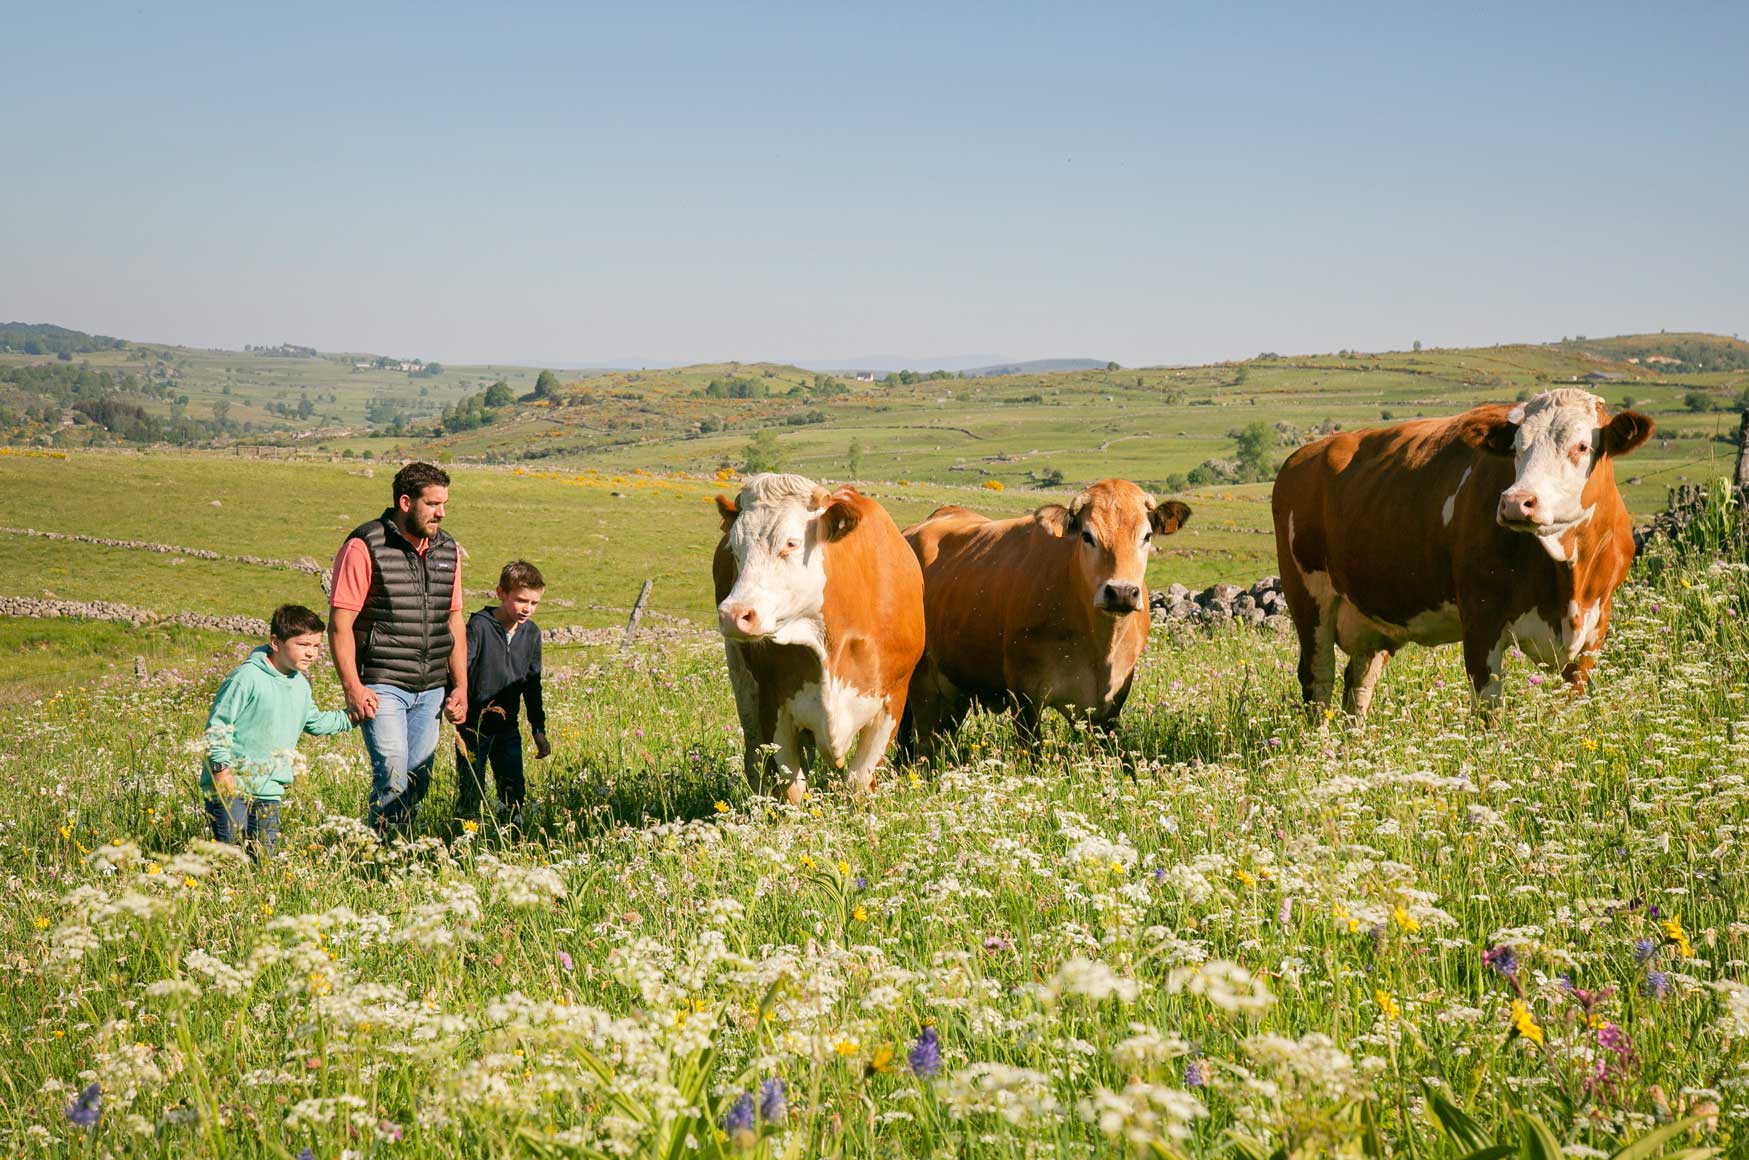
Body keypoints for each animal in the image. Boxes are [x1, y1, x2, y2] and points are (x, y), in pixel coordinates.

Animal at [902, 479, 1189, 759]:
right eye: (1087, 536)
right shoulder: (1024, 695)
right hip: (921, 684)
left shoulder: (1110, 705)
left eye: (1147, 536)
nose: (1121, 592)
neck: (1098, 645)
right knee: (920, 744)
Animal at [1273, 391, 1651, 717]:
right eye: (1517, 448)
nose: (1516, 502)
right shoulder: (1481, 619)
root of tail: (1309, 452)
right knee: (1319, 679)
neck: (1569, 579)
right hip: (1307, 598)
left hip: (1371, 613)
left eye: (1582, 445)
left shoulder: (1593, 630)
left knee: (1359, 682)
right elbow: (1488, 711)